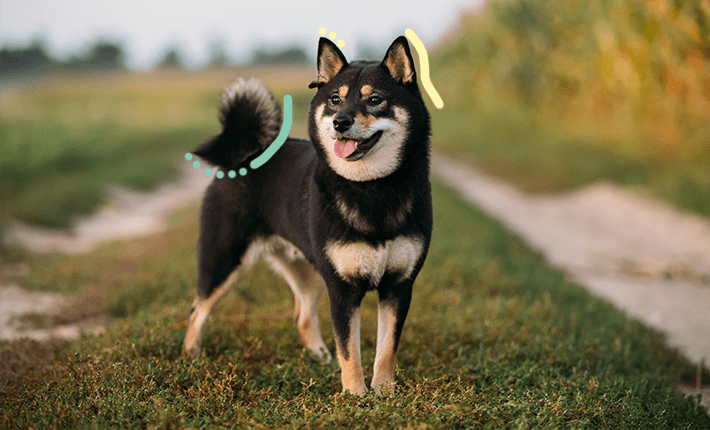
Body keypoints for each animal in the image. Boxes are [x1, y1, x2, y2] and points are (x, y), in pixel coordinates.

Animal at [184, 35, 434, 394]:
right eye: (334, 100)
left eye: (375, 100)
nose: (340, 122)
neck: (372, 188)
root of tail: (246, 155)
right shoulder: (342, 289)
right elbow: (351, 350)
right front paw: (355, 395)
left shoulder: (398, 285)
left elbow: (386, 348)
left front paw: (384, 392)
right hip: (225, 259)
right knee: (197, 308)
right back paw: (191, 355)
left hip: (309, 271)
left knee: (302, 317)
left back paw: (319, 357)